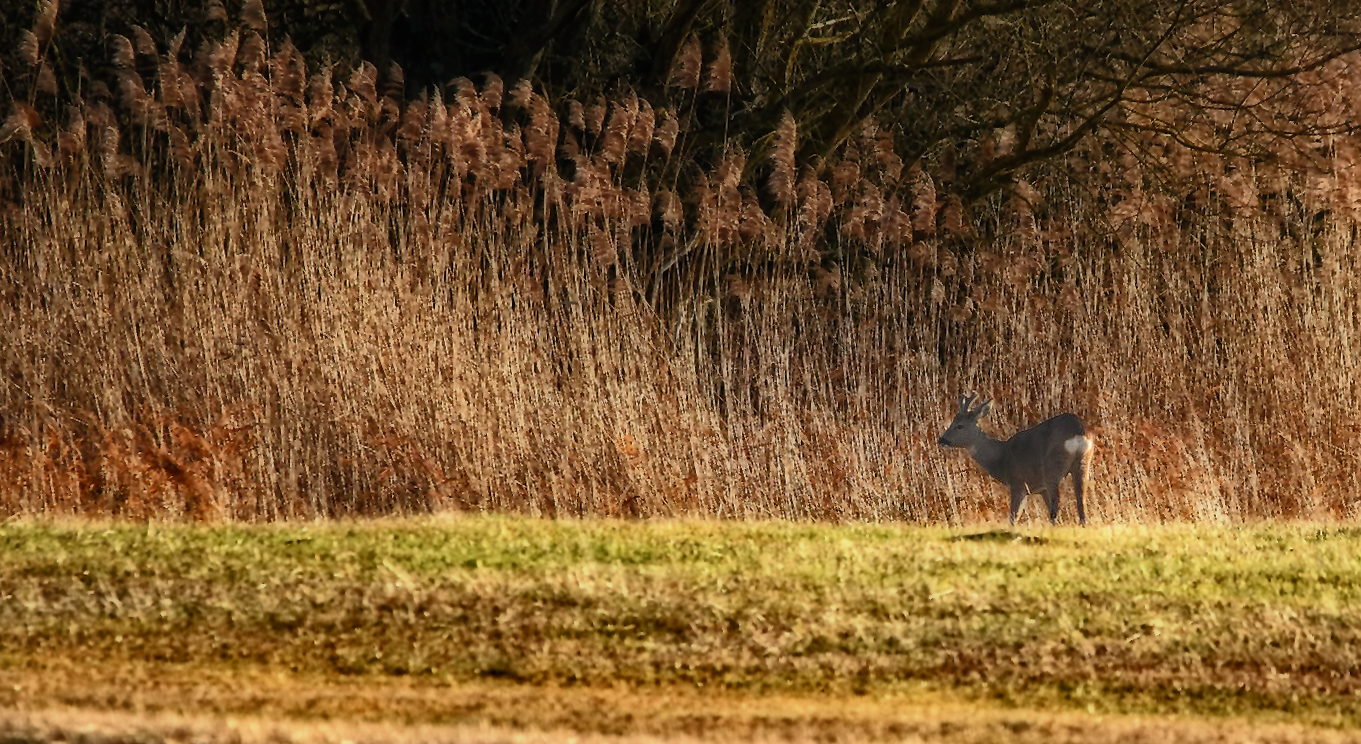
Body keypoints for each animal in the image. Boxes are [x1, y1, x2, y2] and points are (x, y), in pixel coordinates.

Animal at [936, 391, 1094, 527]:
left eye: (959, 426)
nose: (942, 439)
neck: (1001, 458)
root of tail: (1079, 432)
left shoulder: (1018, 484)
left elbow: (1013, 518)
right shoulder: (1039, 488)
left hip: (1053, 465)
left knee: (1058, 501)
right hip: (1083, 462)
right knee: (1081, 499)